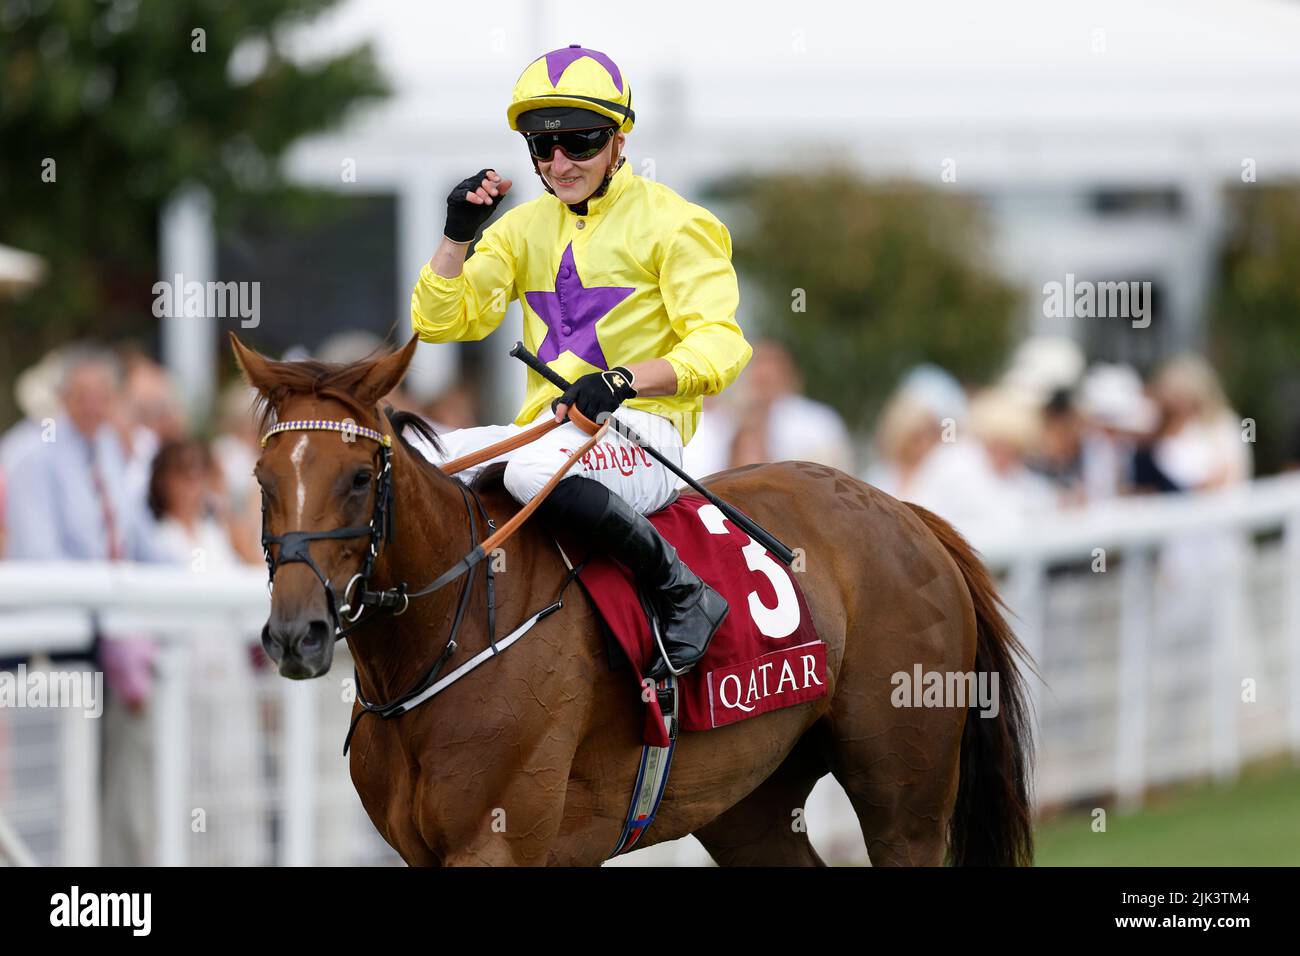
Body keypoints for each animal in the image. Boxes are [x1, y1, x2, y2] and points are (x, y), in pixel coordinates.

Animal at [228, 335, 1029, 868]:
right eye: (262, 480)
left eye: (360, 478)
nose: (297, 635)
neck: (448, 637)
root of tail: (901, 509)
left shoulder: (498, 845)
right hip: (753, 800)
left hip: (906, 799)